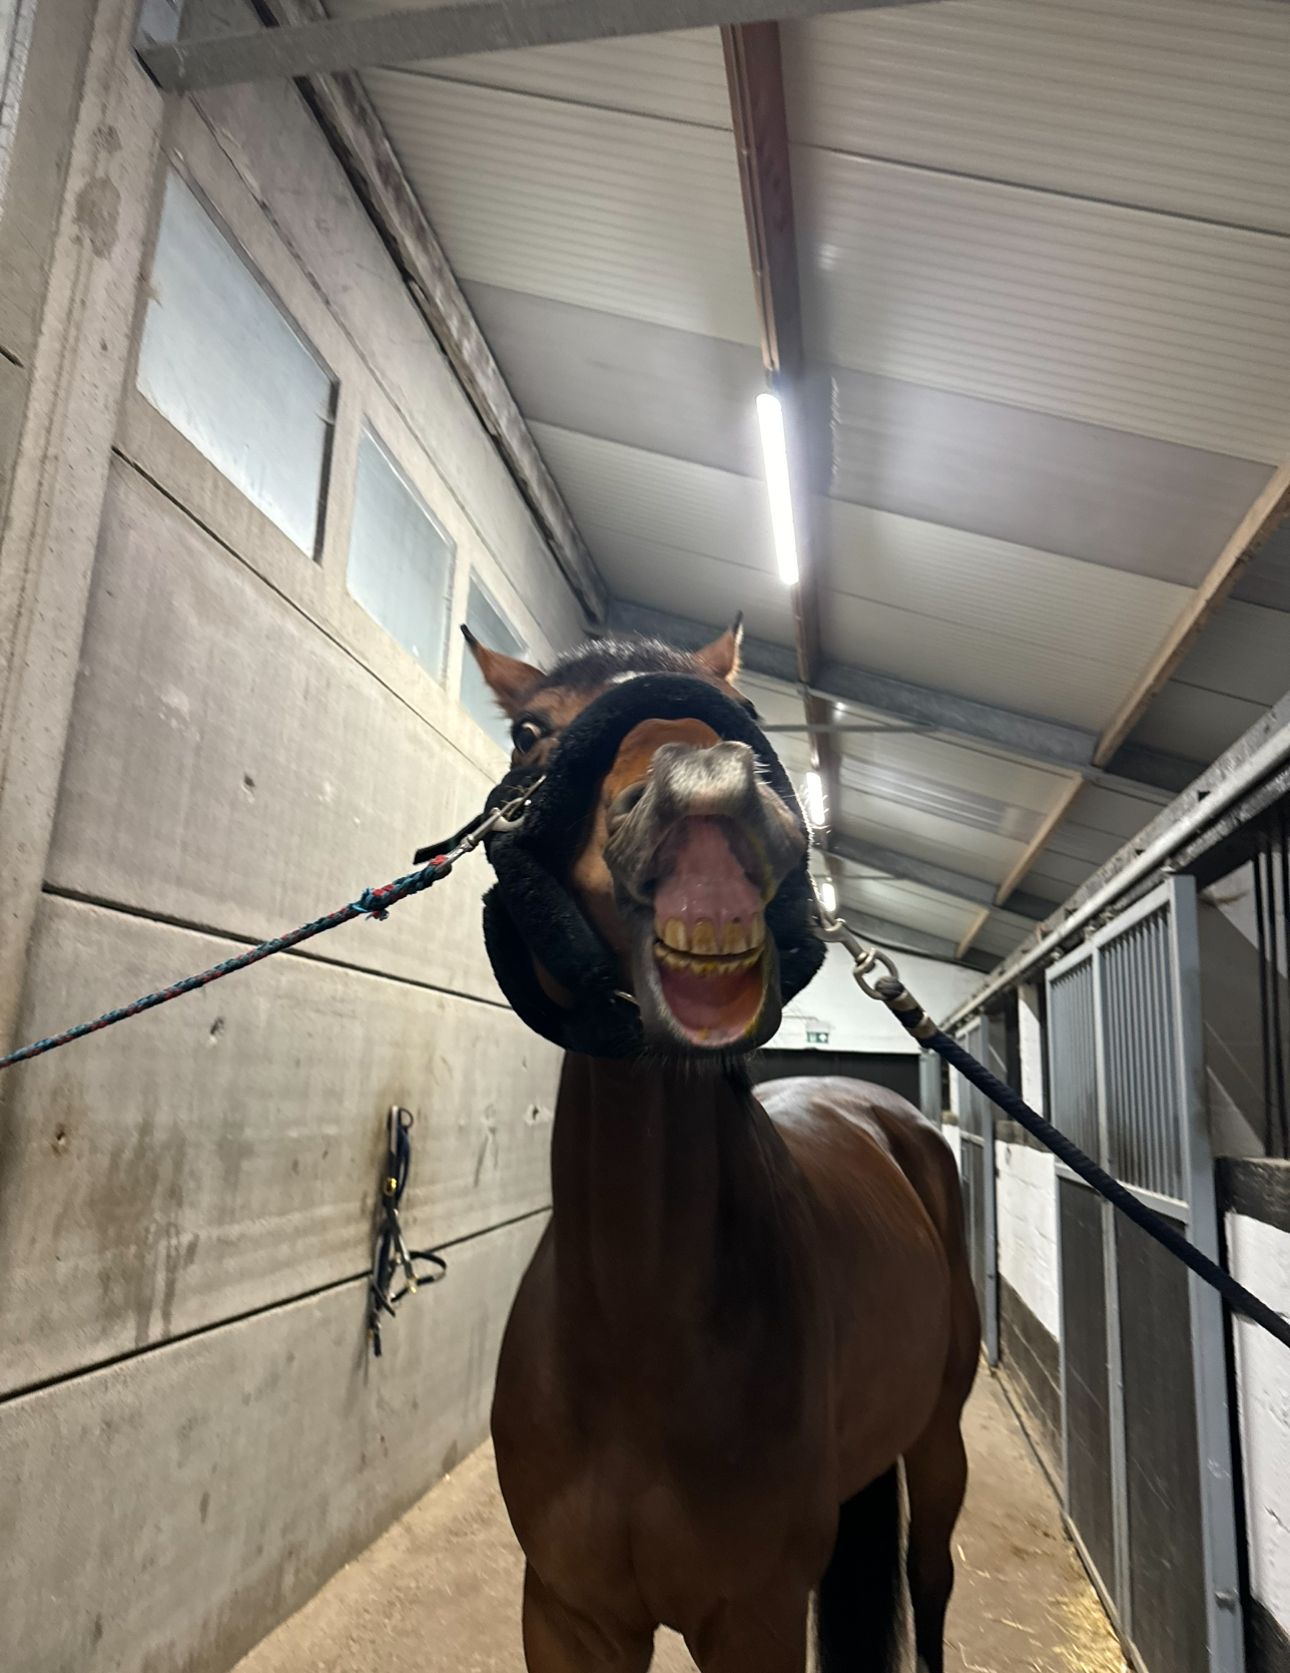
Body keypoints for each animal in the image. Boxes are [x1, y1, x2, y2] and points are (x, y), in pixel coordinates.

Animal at [466, 620, 980, 1672]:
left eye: (740, 712)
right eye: (529, 731)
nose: (704, 787)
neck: (635, 1337)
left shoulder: (755, 1615)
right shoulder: (567, 1614)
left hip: (939, 1436)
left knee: (931, 1577)